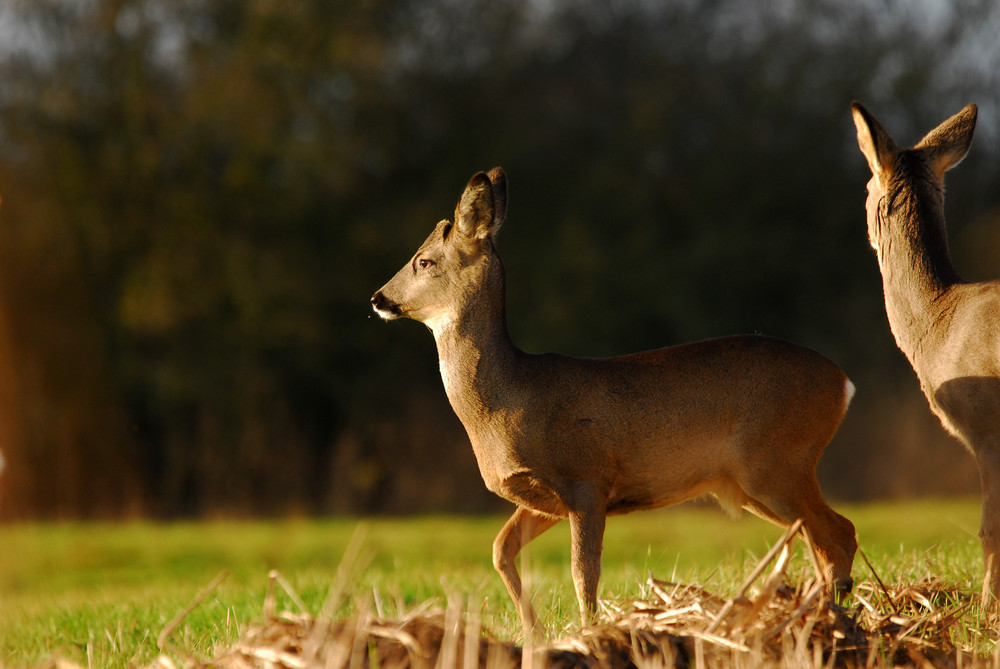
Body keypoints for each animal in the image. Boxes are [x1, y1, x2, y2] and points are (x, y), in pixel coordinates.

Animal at [372, 167, 856, 628]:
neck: (506, 400)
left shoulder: (586, 479)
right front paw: (534, 634)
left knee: (838, 532)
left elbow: (583, 571)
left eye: (423, 260)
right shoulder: (547, 499)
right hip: (750, 481)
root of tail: (843, 382)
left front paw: (588, 631)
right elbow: (500, 548)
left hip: (777, 461)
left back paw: (834, 613)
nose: (378, 298)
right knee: (824, 535)